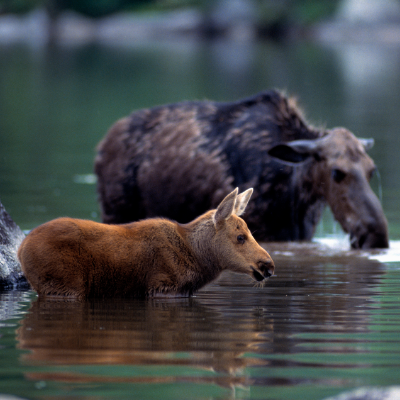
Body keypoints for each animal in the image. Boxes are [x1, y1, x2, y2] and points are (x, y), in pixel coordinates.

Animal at [18, 189, 276, 298]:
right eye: (240, 237)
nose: (268, 266)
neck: (198, 259)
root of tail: (20, 248)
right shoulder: (163, 287)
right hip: (63, 285)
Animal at [95, 90, 390, 250]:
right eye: (337, 172)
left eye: (372, 170)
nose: (377, 236)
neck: (296, 188)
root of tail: (101, 147)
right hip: (115, 210)